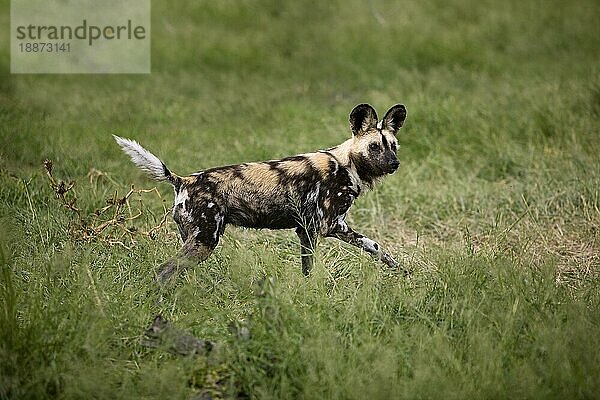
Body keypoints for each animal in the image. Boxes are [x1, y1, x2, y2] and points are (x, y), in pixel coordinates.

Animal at [115, 104, 408, 282]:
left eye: (393, 146)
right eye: (374, 147)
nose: (394, 164)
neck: (347, 165)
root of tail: (183, 179)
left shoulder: (313, 229)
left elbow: (372, 247)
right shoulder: (326, 227)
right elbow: (361, 249)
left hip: (193, 238)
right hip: (205, 241)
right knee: (163, 272)